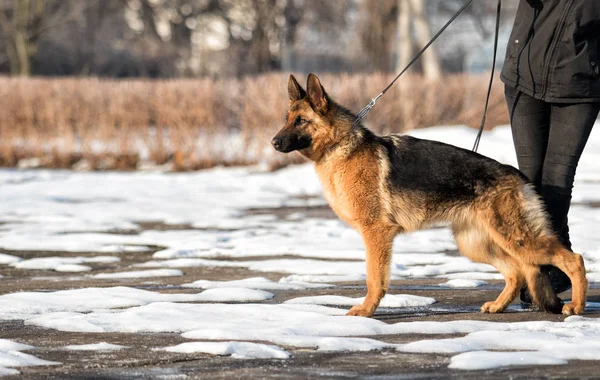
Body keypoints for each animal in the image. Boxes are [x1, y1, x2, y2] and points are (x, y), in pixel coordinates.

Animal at [270, 73, 584, 318]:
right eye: (286, 120)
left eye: (301, 121)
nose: (273, 142)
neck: (341, 146)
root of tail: (517, 176)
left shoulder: (376, 233)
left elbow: (374, 278)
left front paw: (367, 311)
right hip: (476, 243)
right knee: (517, 272)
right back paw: (498, 306)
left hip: (517, 239)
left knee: (573, 259)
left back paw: (576, 307)